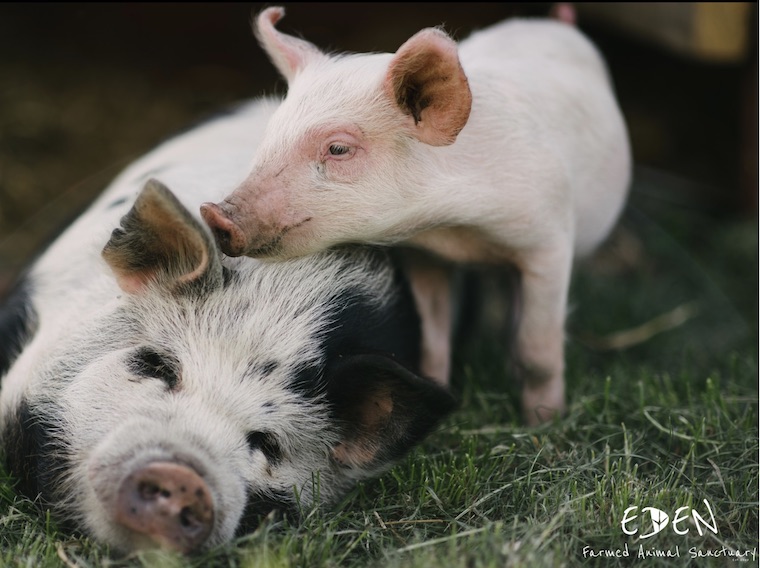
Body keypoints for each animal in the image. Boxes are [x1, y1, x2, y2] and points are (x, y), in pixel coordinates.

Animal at [201, 7, 632, 425]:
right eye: (270, 135)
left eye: (338, 149)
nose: (214, 213)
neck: (457, 232)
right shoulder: (425, 256)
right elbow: (433, 338)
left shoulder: (549, 242)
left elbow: (537, 349)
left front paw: (543, 425)